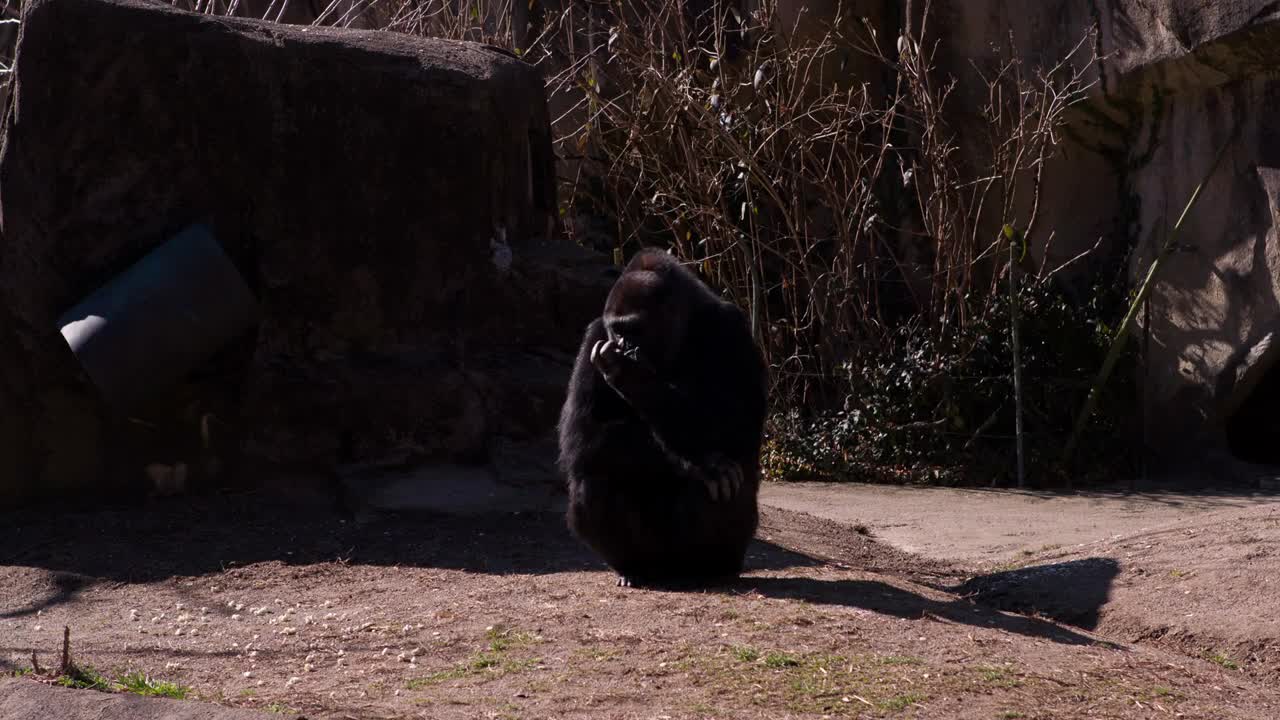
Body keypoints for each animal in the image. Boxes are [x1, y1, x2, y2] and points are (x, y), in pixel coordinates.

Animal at [555, 244, 762, 584]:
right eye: (617, 330)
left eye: (636, 329)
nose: (625, 347)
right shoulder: (594, 335)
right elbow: (583, 436)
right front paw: (702, 464)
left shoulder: (733, 329)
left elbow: (736, 425)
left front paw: (629, 374)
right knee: (594, 475)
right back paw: (634, 569)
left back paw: (709, 570)